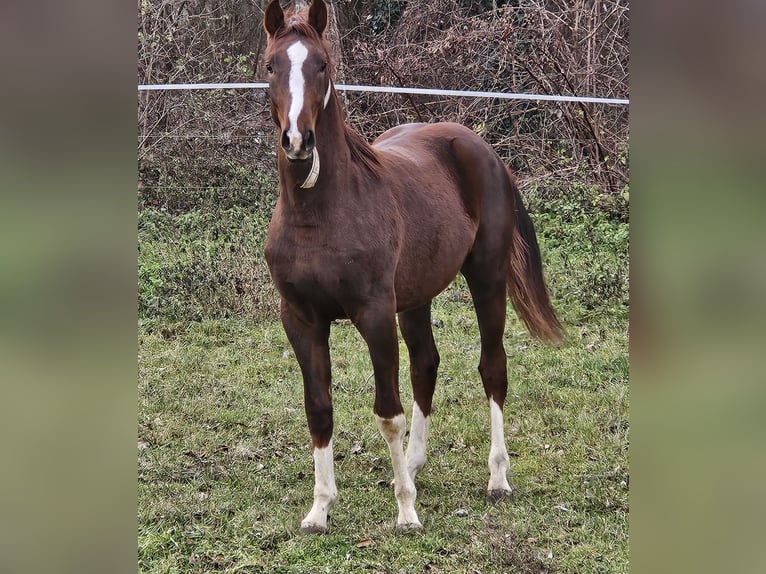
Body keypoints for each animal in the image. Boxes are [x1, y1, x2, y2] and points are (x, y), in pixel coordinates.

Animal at [260, 0, 560, 536]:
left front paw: (406, 512)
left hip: (487, 280)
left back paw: (497, 479)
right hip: (416, 298)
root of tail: (481, 148)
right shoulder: (300, 320)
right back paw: (415, 465)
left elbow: (387, 414)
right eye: (272, 65)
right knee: (427, 364)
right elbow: (320, 409)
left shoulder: (375, 315)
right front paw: (319, 510)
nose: (298, 140)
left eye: (322, 64)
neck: (319, 215)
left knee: (493, 368)